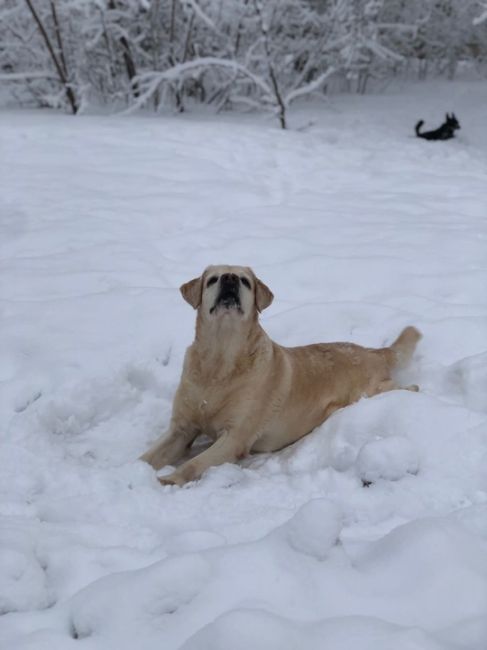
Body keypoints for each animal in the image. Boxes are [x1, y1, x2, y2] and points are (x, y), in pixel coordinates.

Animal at [139, 262, 422, 480]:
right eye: (213, 279)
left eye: (245, 280)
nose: (230, 278)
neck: (220, 360)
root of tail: (373, 351)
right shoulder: (181, 429)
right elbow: (146, 457)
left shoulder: (235, 436)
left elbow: (194, 464)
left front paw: (167, 480)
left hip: (371, 393)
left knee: (408, 388)